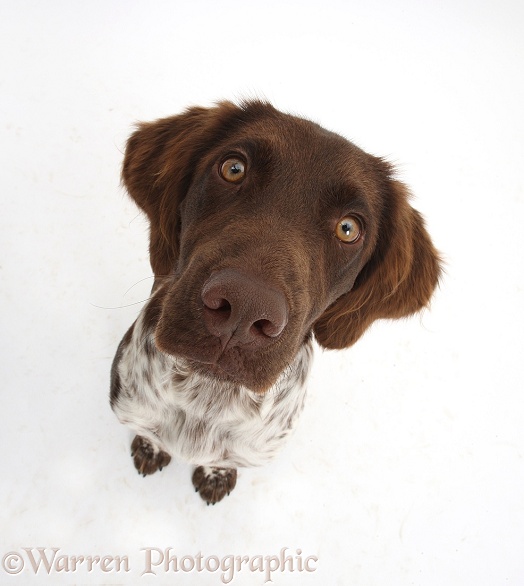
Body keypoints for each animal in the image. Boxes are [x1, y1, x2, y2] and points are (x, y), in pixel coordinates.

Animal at [110, 101, 442, 502]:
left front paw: (216, 475)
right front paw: (150, 447)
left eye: (348, 229)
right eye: (233, 168)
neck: (205, 400)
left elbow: (222, 461)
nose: (243, 308)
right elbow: (150, 433)